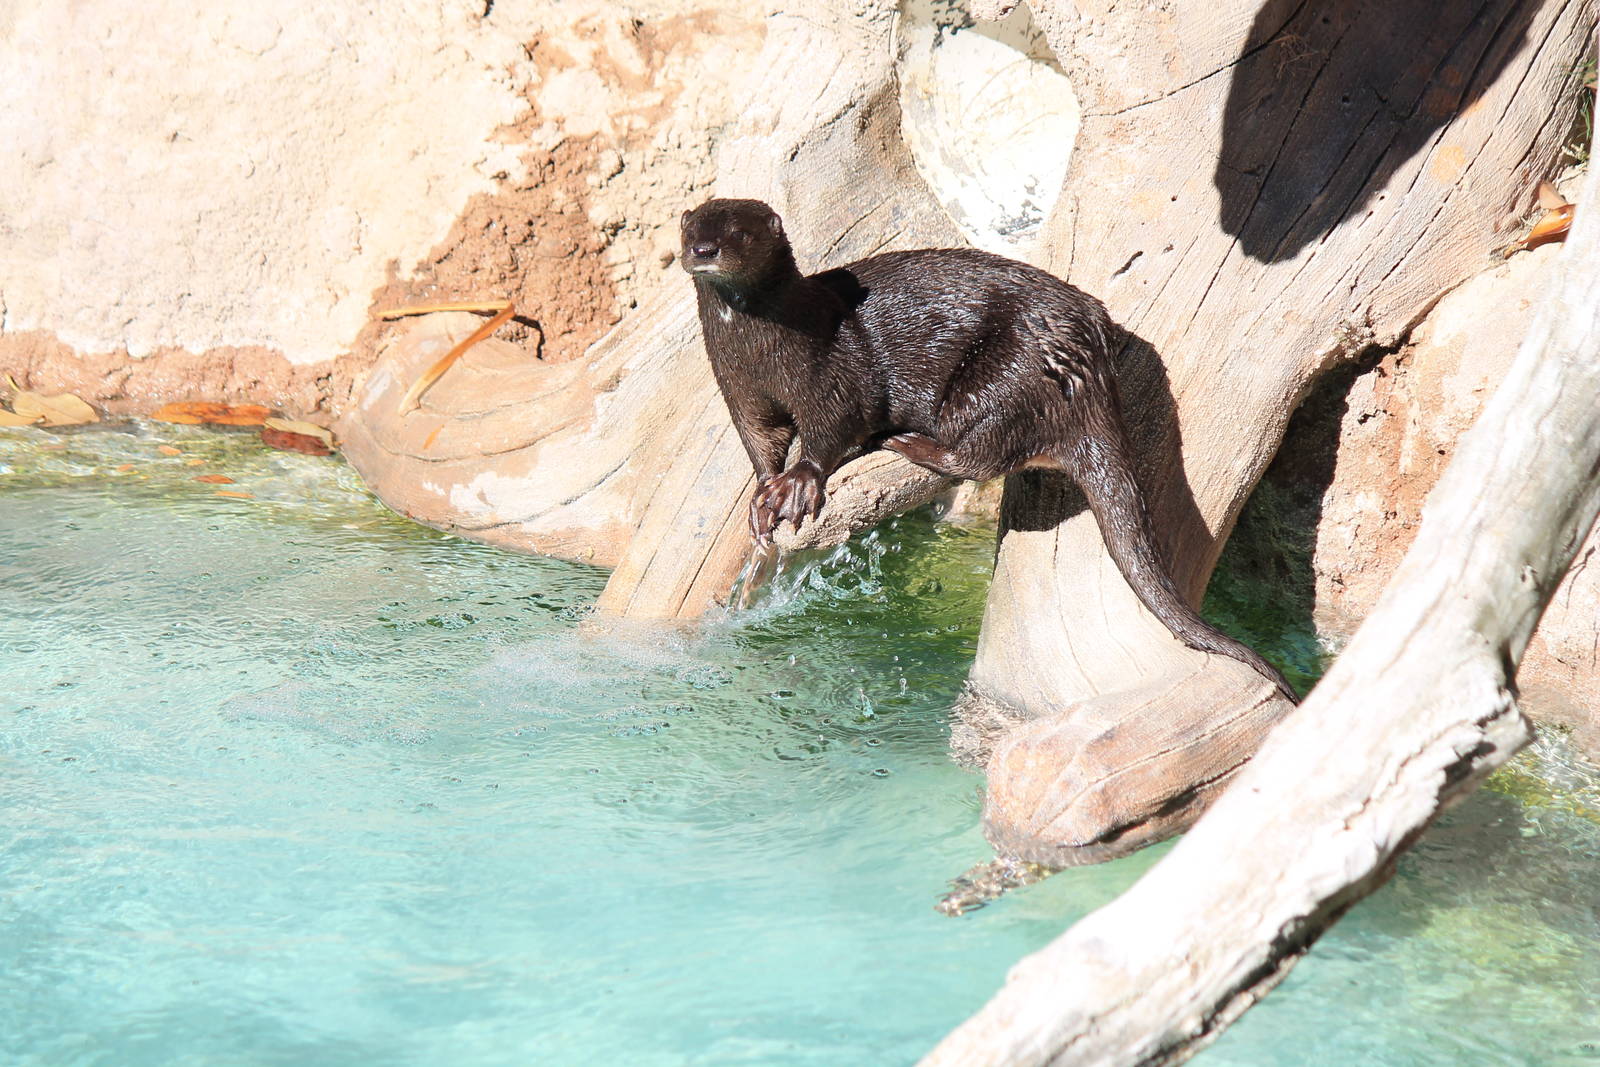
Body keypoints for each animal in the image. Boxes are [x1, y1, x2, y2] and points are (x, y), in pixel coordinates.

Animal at [680, 197, 1294, 701]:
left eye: (738, 233)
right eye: (689, 228)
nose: (702, 251)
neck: (763, 351)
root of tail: (1090, 376)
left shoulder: (833, 378)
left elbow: (833, 429)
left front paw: (798, 483)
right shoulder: (739, 392)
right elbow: (760, 442)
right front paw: (764, 492)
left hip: (998, 378)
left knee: (982, 454)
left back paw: (908, 441)